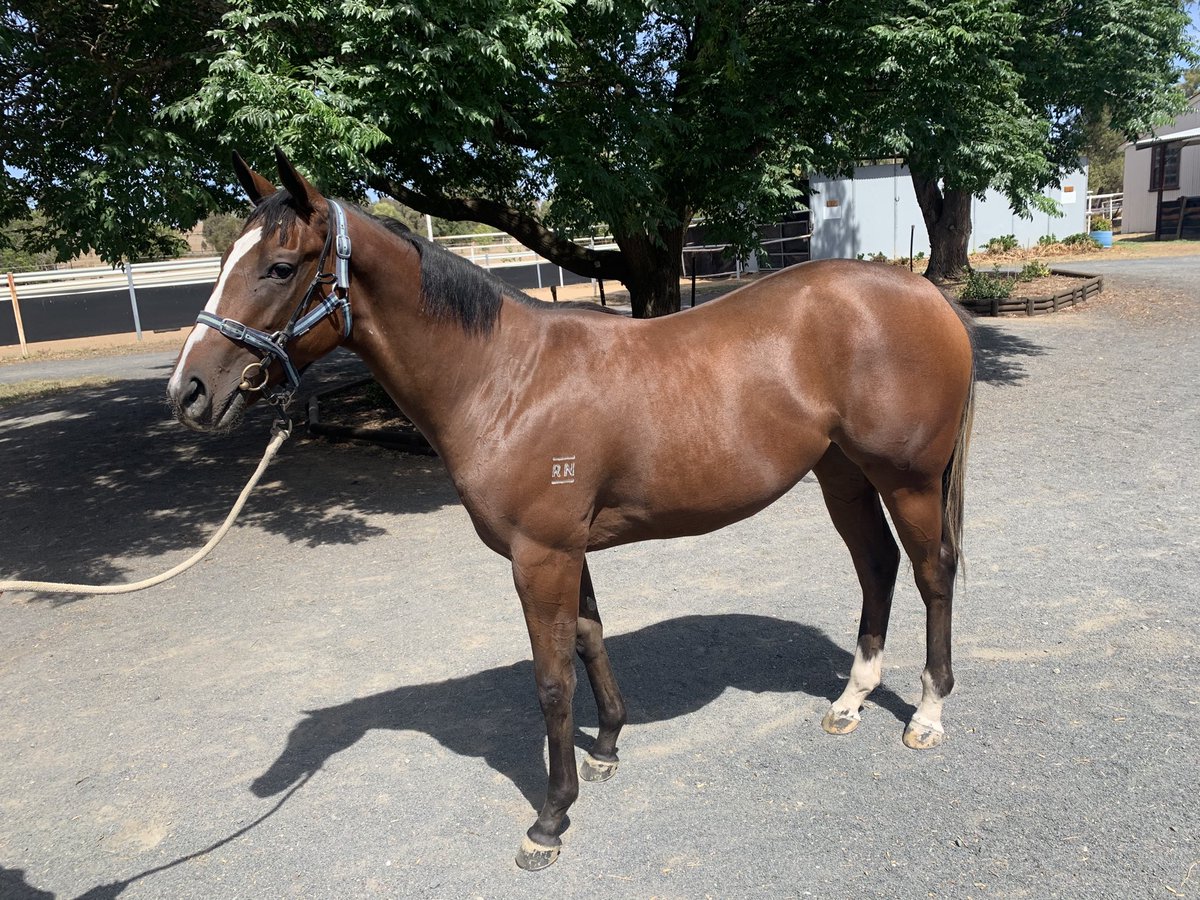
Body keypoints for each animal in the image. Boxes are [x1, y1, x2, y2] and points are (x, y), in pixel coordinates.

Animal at [167, 150, 976, 870]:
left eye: (279, 267)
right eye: (227, 258)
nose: (189, 392)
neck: (505, 379)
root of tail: (927, 296)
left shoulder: (540, 555)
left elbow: (552, 681)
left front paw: (550, 819)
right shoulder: (568, 550)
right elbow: (589, 640)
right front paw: (609, 748)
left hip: (906, 480)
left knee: (932, 573)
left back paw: (929, 713)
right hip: (843, 476)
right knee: (876, 567)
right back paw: (851, 701)